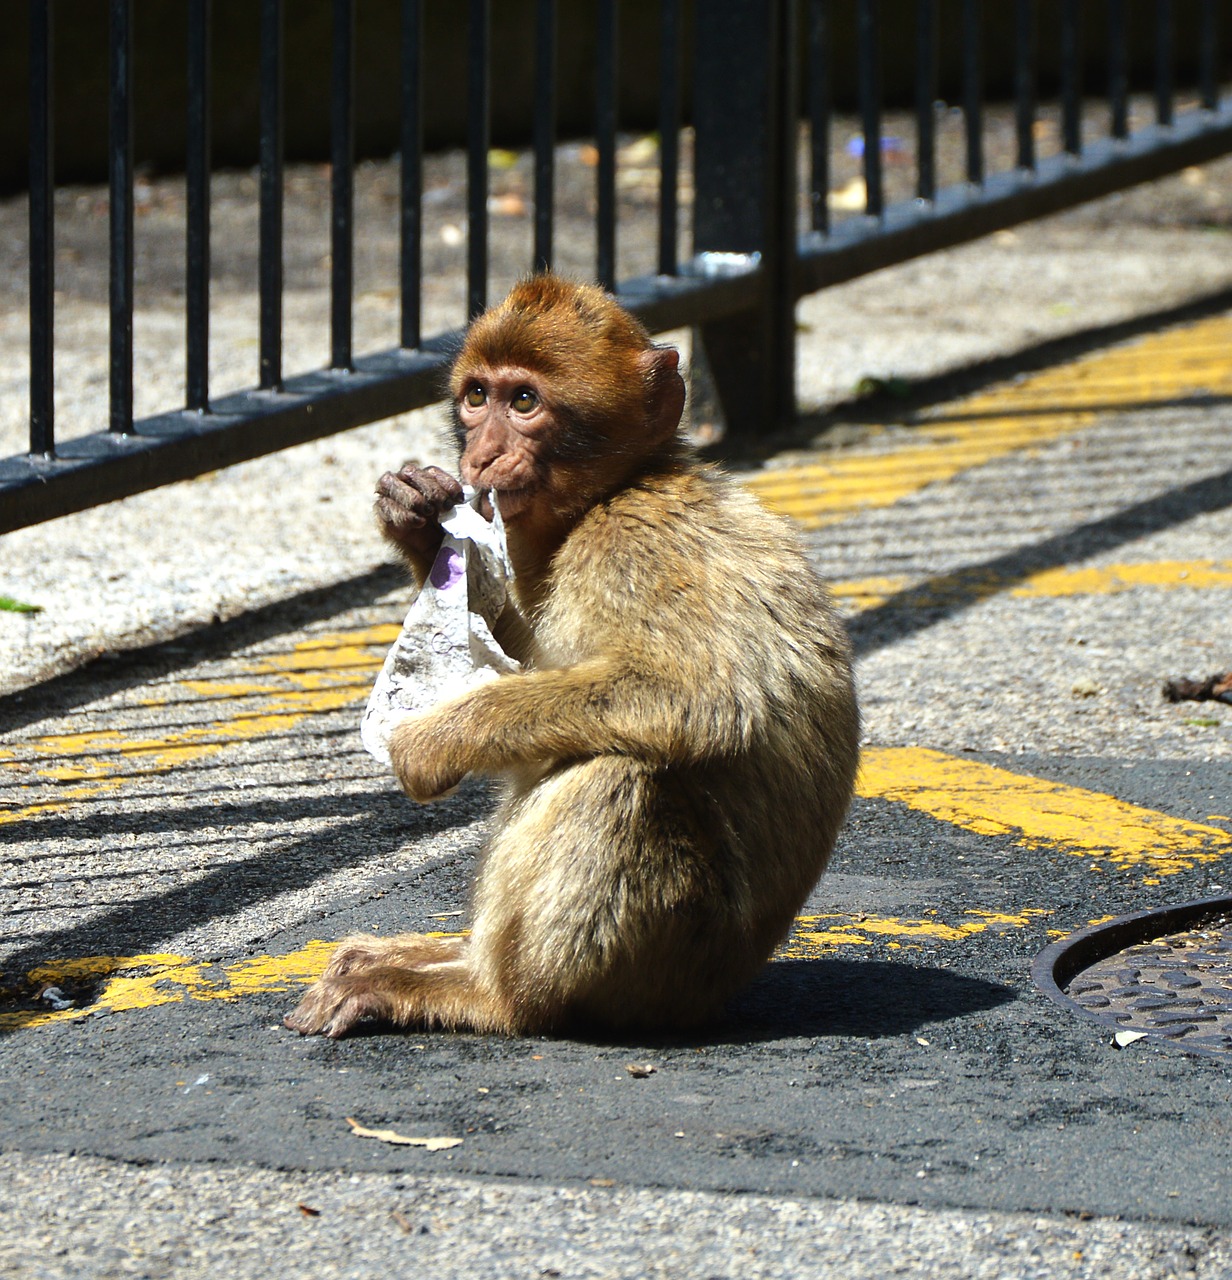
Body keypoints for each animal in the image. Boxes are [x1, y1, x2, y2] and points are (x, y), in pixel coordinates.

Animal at [286, 272, 855, 1039]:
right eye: (478, 396)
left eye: (525, 402)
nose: (480, 456)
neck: (615, 490)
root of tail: (715, 997)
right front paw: (419, 522)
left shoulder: (633, 546)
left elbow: (702, 699)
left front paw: (429, 742)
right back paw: (442, 959)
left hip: (657, 972)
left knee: (621, 770)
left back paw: (490, 996)